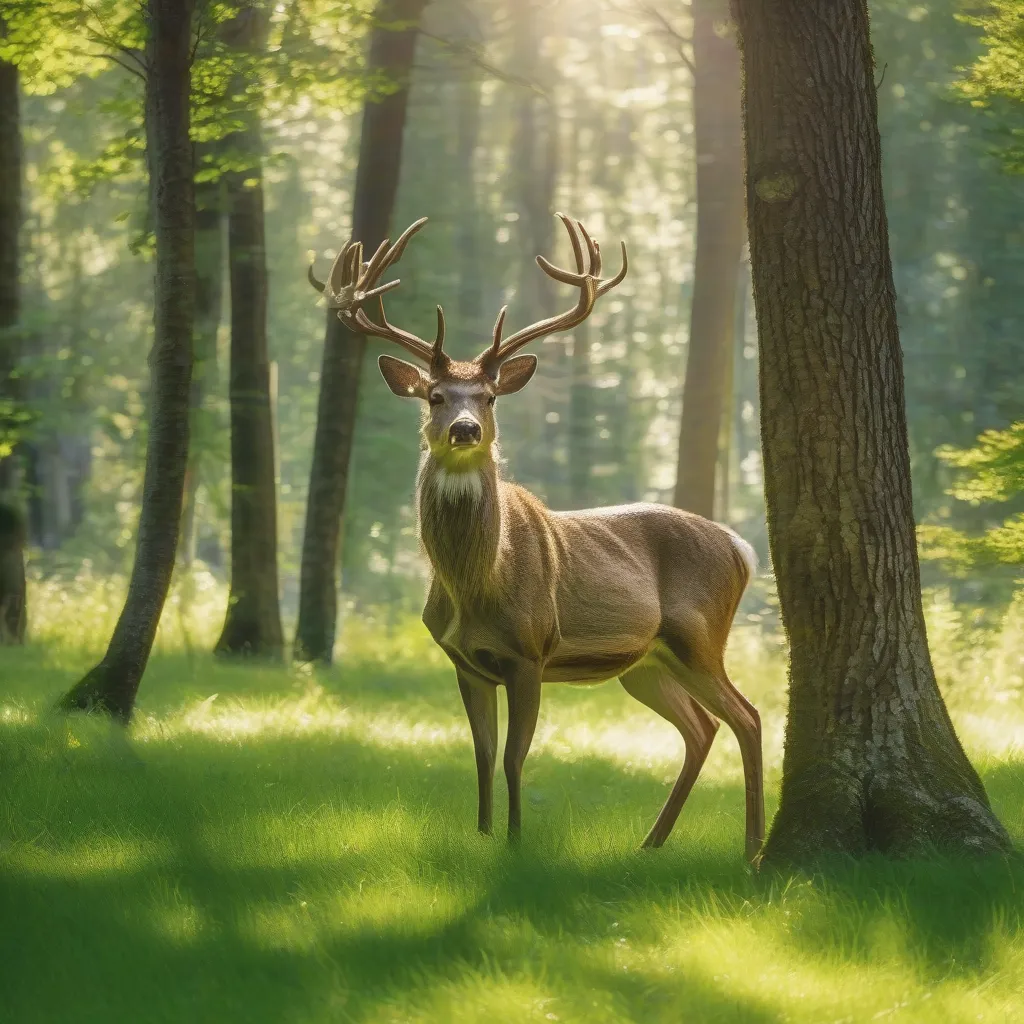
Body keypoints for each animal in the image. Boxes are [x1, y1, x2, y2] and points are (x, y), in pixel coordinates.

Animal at [307, 216, 765, 864]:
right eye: (435, 396)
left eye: (490, 396)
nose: (465, 428)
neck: (476, 586)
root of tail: (740, 547)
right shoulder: (465, 663)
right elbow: (478, 753)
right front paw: (481, 834)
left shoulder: (530, 651)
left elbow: (513, 755)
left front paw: (518, 843)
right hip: (645, 663)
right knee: (701, 727)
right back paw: (652, 842)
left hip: (699, 634)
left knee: (746, 716)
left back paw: (751, 850)